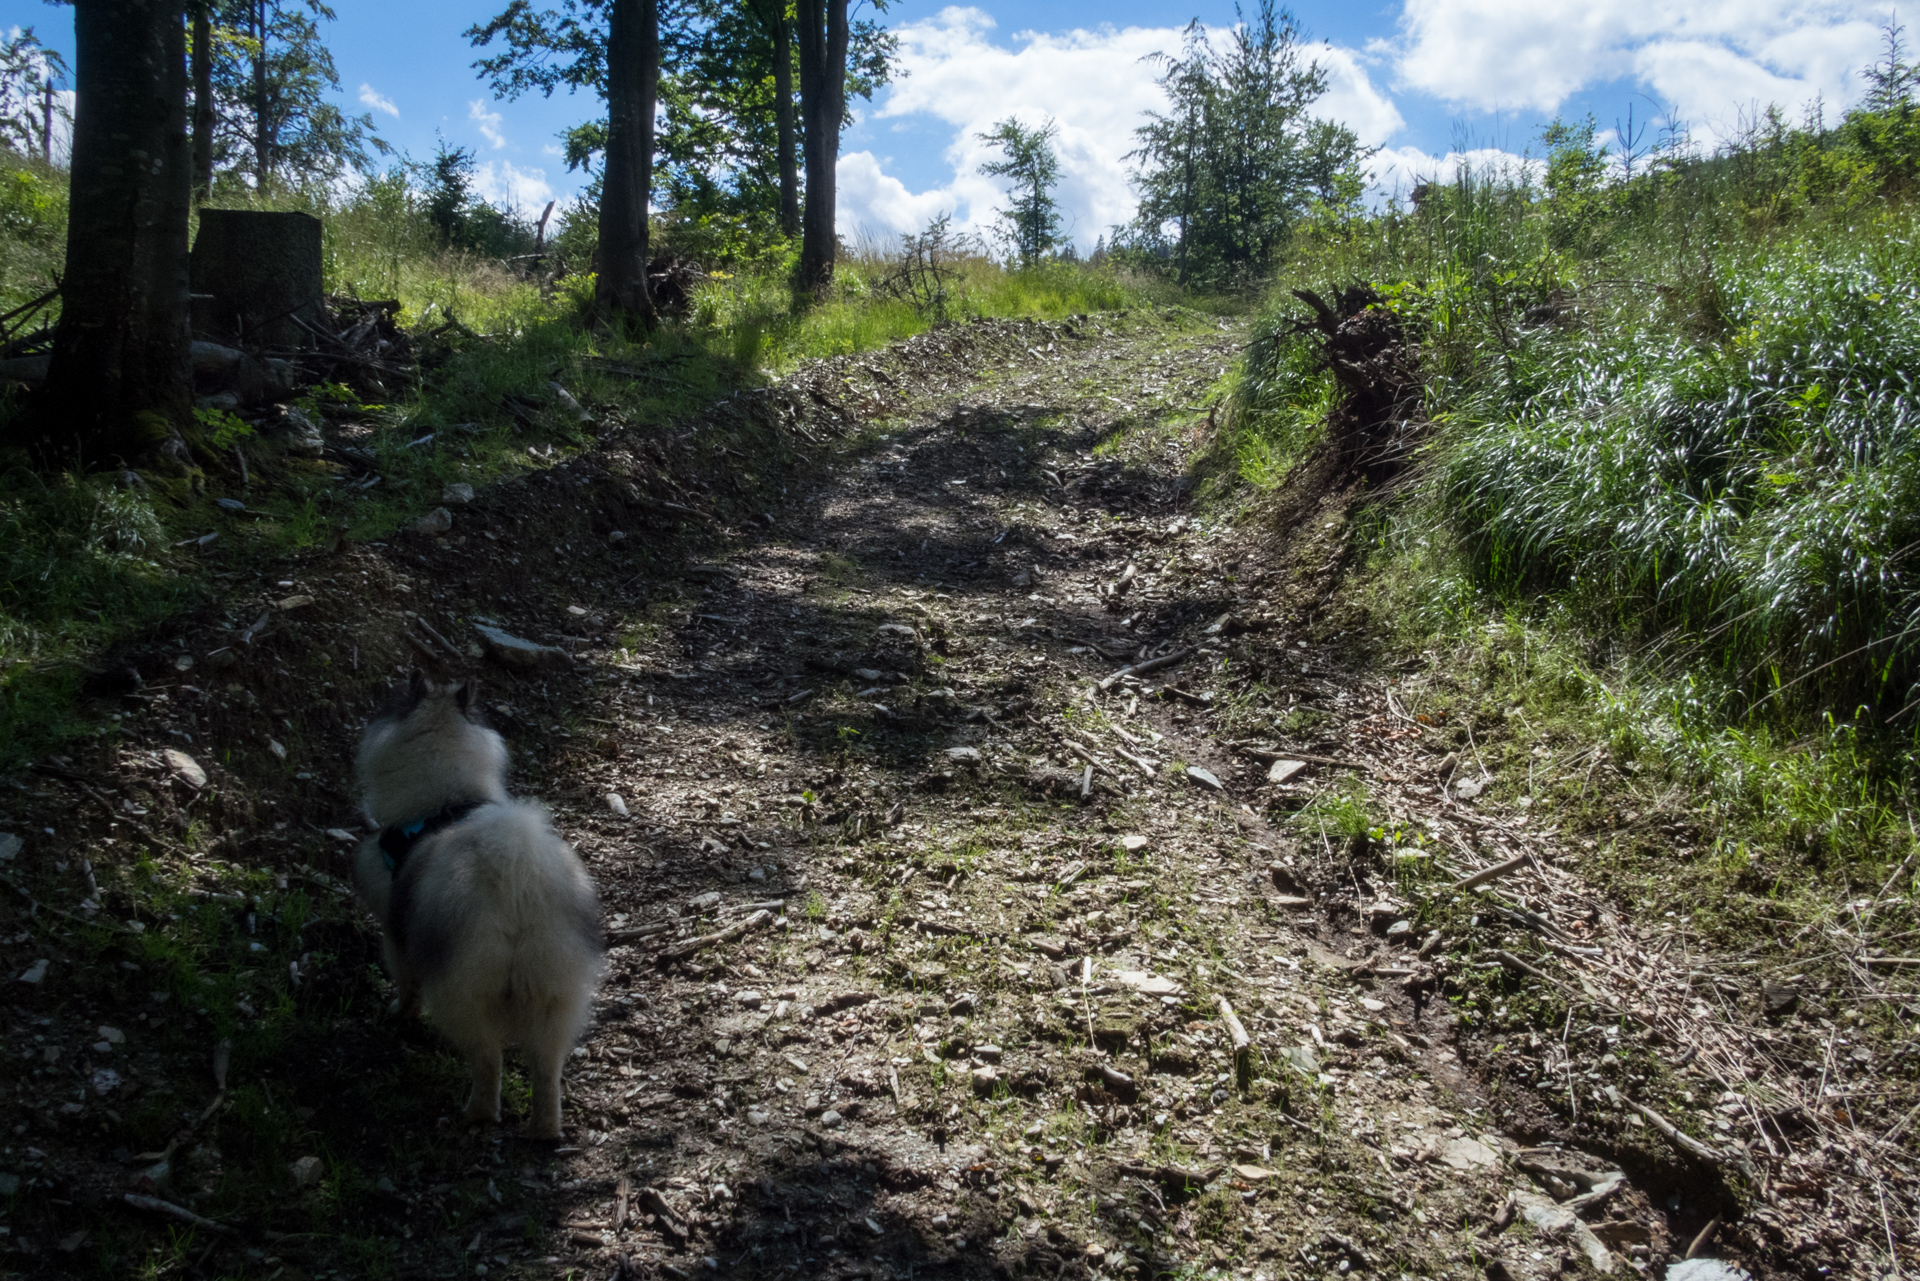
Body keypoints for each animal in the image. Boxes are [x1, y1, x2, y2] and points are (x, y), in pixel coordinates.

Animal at [353, 676, 599, 1136]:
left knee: (488, 1063)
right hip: (555, 1000)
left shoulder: (396, 938)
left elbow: (405, 986)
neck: (446, 800)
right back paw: (544, 1130)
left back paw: (476, 1116)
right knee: (546, 1072)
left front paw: (399, 1014)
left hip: (463, 997)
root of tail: (515, 887)